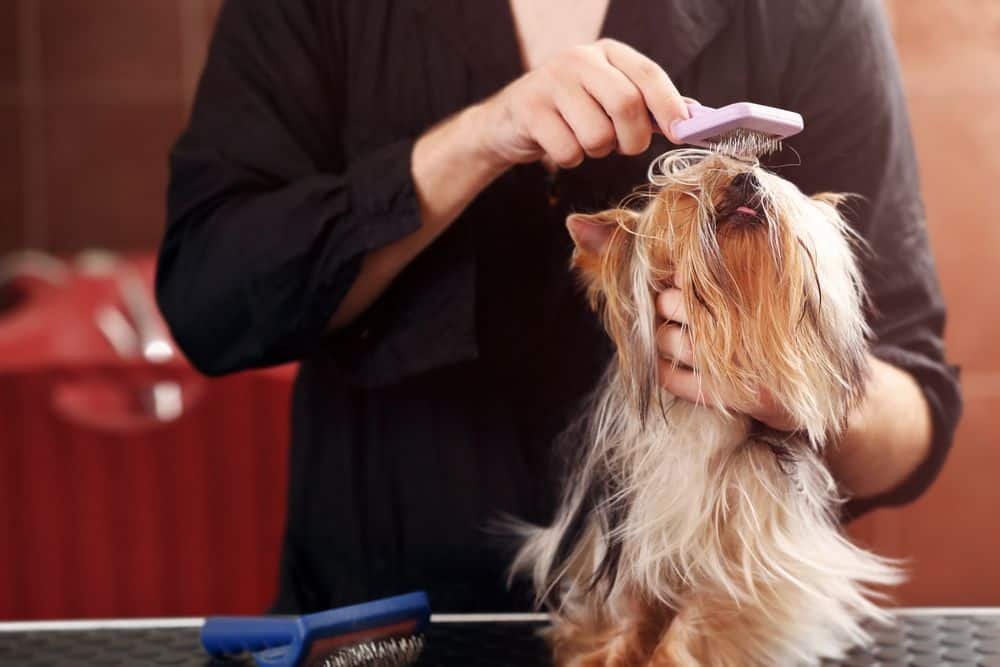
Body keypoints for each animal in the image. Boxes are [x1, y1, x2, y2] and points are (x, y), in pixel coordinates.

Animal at [512, 151, 904, 667]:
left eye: (765, 175)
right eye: (686, 193)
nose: (746, 179)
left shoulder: (744, 545)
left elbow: (703, 615)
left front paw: (667, 656)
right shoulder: (628, 524)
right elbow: (629, 606)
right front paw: (609, 654)